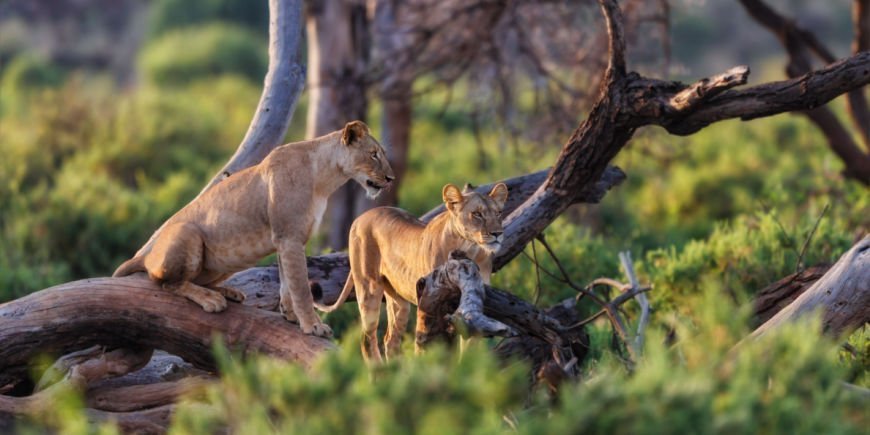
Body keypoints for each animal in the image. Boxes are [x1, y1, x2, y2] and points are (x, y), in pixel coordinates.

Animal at [113, 121, 396, 338]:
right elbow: (301, 287)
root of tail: (145, 255)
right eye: (373, 154)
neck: (325, 178)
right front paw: (313, 326)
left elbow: (286, 281)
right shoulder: (290, 237)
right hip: (188, 234)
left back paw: (227, 292)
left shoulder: (285, 239)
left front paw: (290, 315)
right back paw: (211, 299)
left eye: (381, 153)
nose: (391, 179)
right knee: (166, 283)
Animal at [318, 183, 510, 362]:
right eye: (477, 214)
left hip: (398, 302)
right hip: (368, 289)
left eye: (498, 213)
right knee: (367, 339)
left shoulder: (473, 306)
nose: (498, 233)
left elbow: (469, 350)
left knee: (390, 339)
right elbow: (425, 344)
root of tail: (360, 217)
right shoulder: (428, 299)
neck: (470, 248)